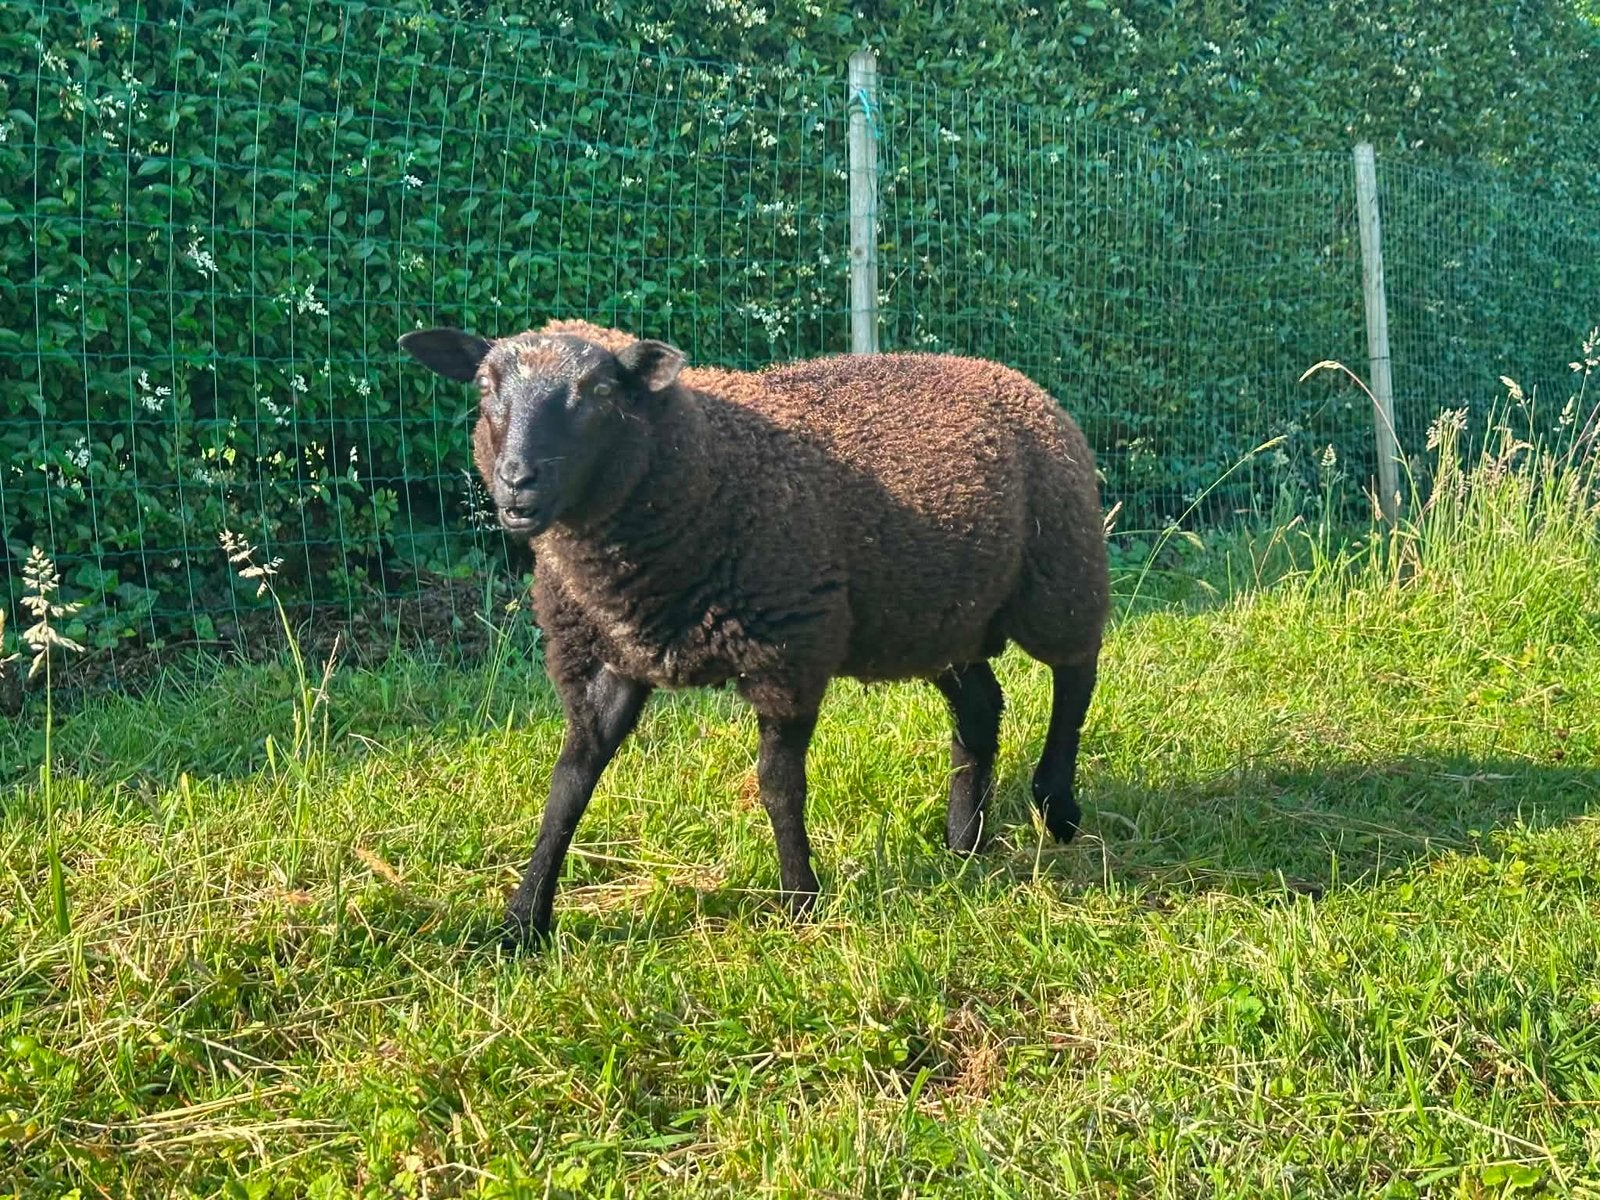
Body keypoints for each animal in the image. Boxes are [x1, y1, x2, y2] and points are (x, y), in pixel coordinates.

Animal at [399, 321, 1110, 944]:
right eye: (484, 386)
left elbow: (778, 785)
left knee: (1076, 674)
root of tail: (1003, 372)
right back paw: (964, 841)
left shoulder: (787, 653)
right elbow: (570, 781)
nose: (517, 483)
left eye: (599, 391)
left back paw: (1056, 803)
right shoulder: (607, 659)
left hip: (1060, 572)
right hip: (938, 619)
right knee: (981, 707)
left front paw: (800, 901)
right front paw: (522, 922)